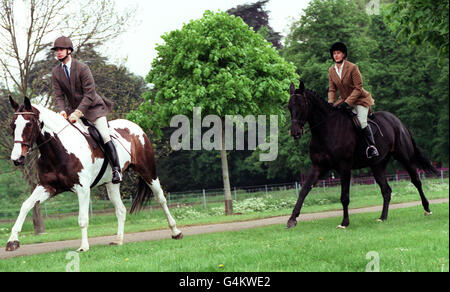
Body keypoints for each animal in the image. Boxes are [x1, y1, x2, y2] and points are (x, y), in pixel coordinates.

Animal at [5, 97, 181, 252]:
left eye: (28, 124)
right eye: (13, 125)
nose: (16, 159)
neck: (59, 150)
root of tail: (135, 127)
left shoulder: (82, 189)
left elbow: (82, 219)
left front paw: (83, 246)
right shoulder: (47, 187)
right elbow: (26, 205)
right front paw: (12, 241)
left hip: (148, 172)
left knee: (161, 199)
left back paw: (175, 231)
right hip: (111, 184)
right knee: (121, 210)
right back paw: (118, 240)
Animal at [286, 81, 438, 228]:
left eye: (301, 105)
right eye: (289, 107)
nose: (295, 133)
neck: (326, 130)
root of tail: (397, 121)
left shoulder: (344, 166)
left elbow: (344, 196)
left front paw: (344, 222)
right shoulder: (318, 166)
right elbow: (304, 190)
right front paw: (292, 219)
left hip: (404, 157)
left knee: (416, 181)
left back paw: (427, 209)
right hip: (377, 165)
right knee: (386, 190)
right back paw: (382, 217)